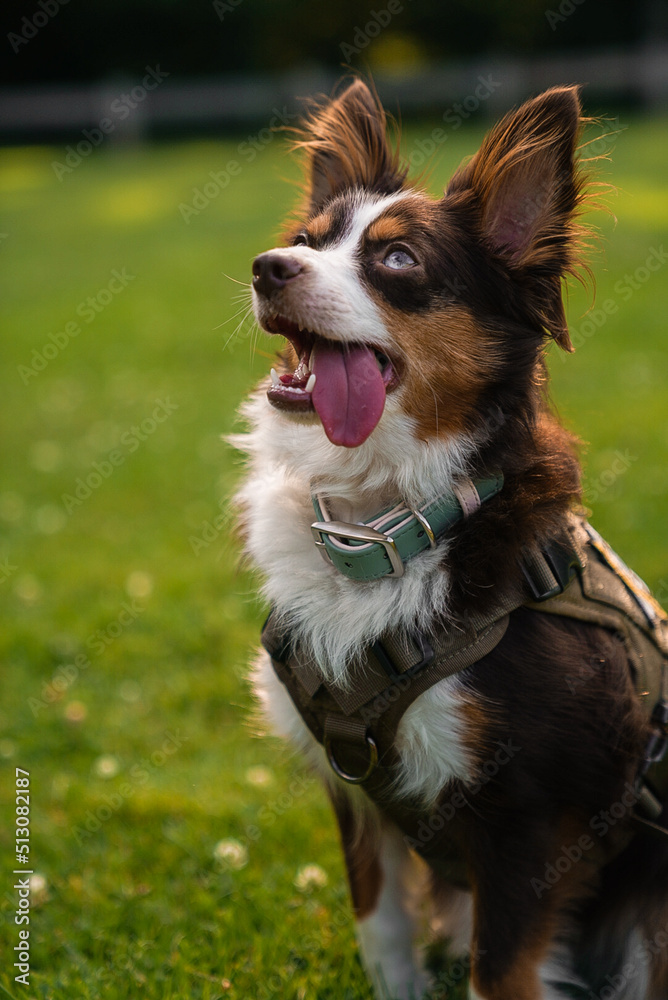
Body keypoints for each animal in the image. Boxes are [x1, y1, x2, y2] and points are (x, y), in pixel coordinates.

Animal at [231, 80, 668, 1000]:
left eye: (399, 261)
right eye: (307, 242)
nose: (267, 267)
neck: (385, 521)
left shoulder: (529, 822)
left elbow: (496, 975)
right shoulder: (355, 793)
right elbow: (383, 932)